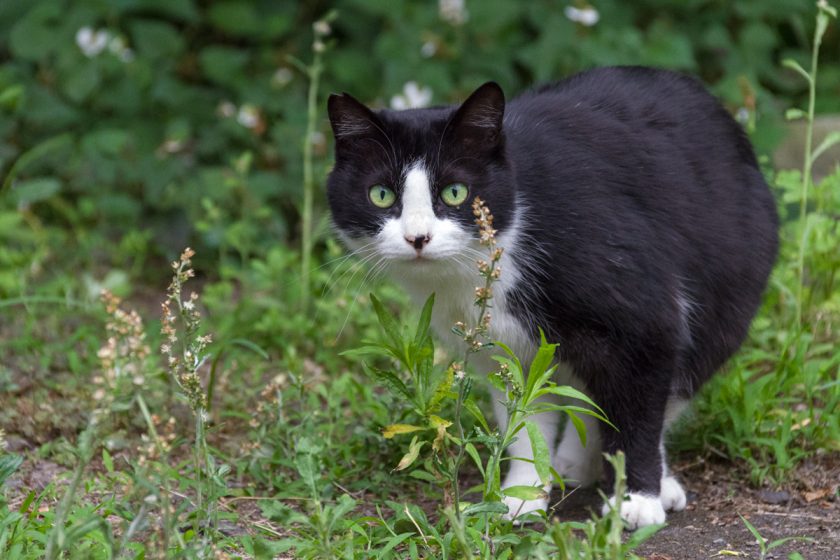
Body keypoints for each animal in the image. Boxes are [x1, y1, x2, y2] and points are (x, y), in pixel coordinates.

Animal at [324, 68, 776, 528]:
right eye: (381, 195)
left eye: (455, 192)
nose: (418, 238)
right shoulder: (503, 346)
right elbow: (524, 416)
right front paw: (523, 495)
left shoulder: (644, 319)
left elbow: (639, 409)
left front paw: (637, 498)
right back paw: (576, 462)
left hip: (727, 293)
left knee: (669, 387)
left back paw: (651, 480)